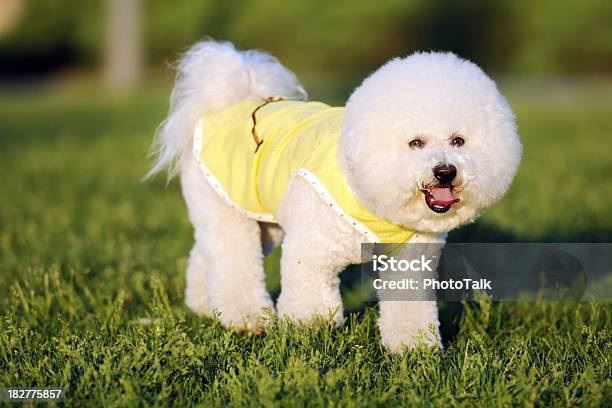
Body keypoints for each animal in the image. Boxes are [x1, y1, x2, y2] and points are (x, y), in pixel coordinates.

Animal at [147, 40, 520, 350]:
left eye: (459, 141)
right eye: (415, 142)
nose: (445, 171)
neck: (364, 190)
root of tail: (228, 102)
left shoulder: (410, 262)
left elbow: (409, 307)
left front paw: (413, 349)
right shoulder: (312, 249)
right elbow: (310, 297)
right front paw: (309, 331)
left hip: (261, 219)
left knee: (206, 254)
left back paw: (203, 305)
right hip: (225, 205)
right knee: (232, 259)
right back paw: (246, 319)